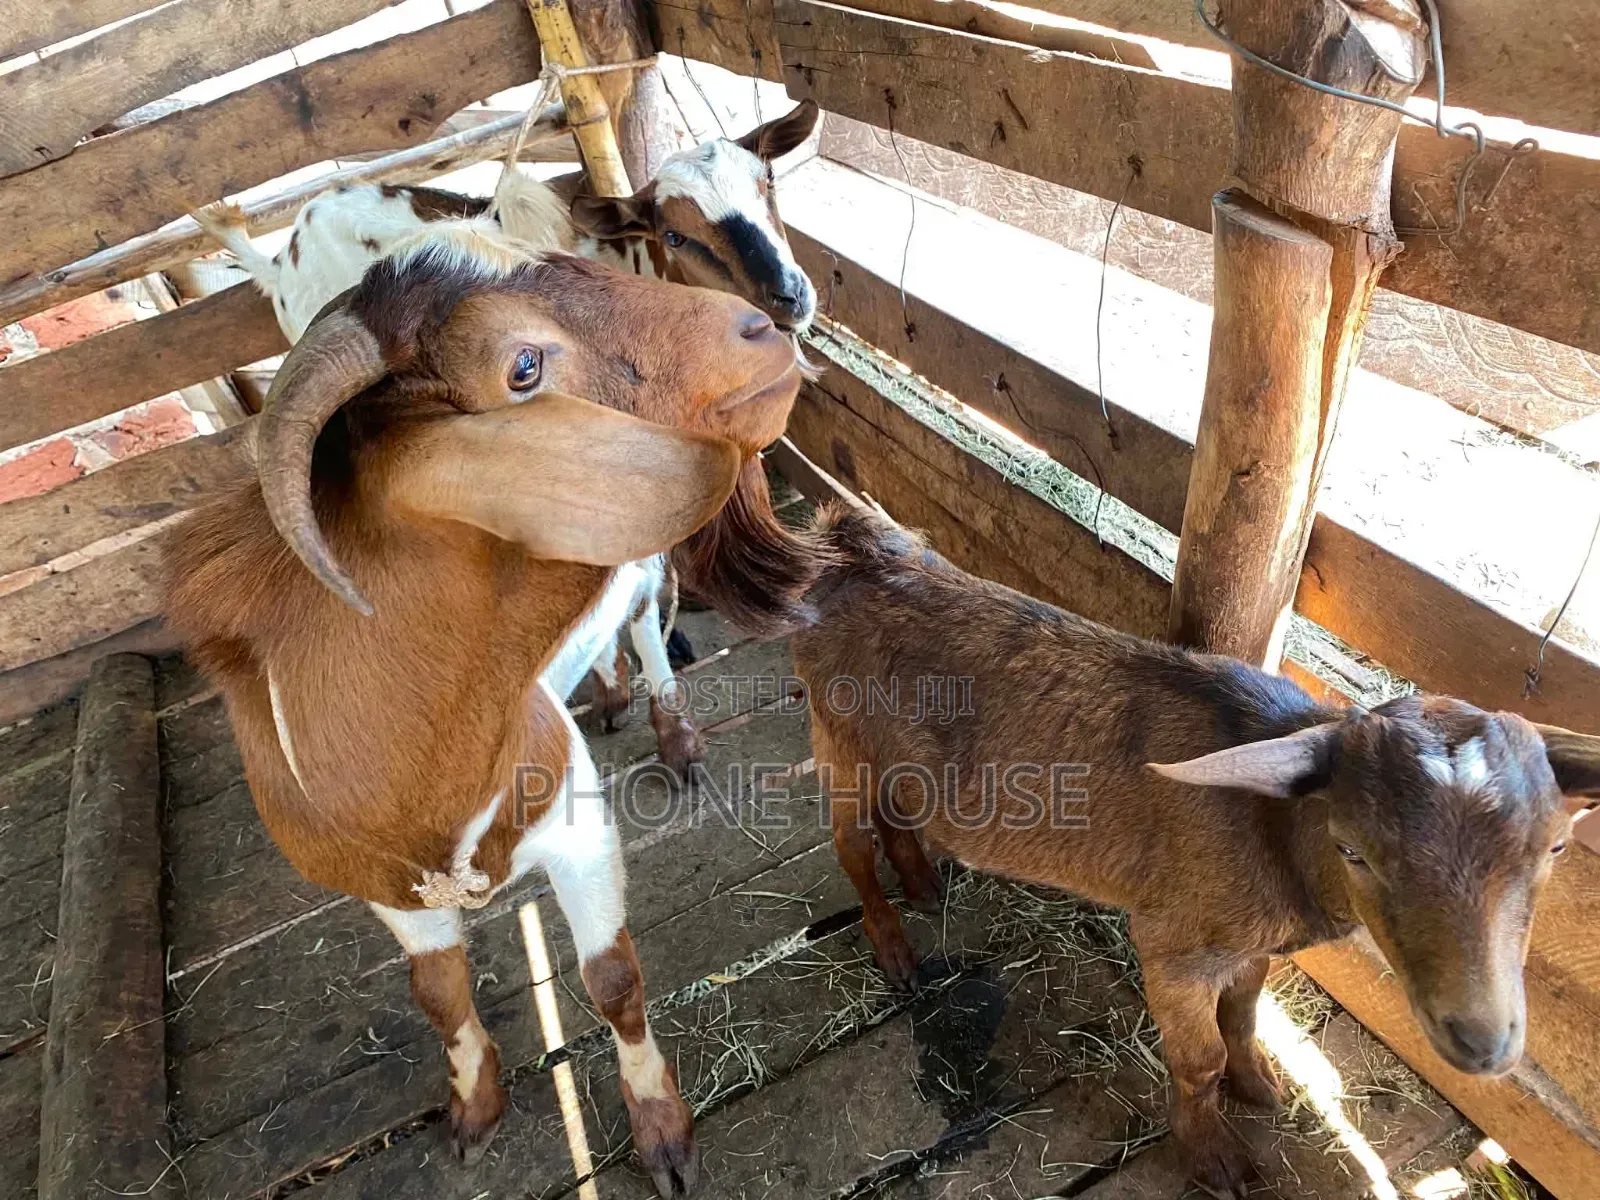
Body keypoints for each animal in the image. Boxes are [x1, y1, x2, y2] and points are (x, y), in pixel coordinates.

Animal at [165, 221, 807, 1194]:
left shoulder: (579, 831)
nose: (762, 329)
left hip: (643, 578)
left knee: (644, 622)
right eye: (523, 366)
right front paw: (473, 1106)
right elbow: (437, 993)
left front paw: (661, 1129)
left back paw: (672, 732)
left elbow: (612, 978)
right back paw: (607, 692)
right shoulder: (384, 892)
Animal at [781, 505, 1600, 1198]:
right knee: (850, 843)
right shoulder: (1174, 940)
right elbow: (1199, 1057)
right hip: (835, 732)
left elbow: (1243, 1014)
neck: (1274, 839)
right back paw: (894, 947)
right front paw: (1216, 1157)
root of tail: (847, 549)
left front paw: (1261, 1083)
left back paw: (922, 881)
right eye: (1353, 850)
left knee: (897, 811)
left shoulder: (1251, 940)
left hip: (891, 755)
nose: (1484, 1042)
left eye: (1557, 846)